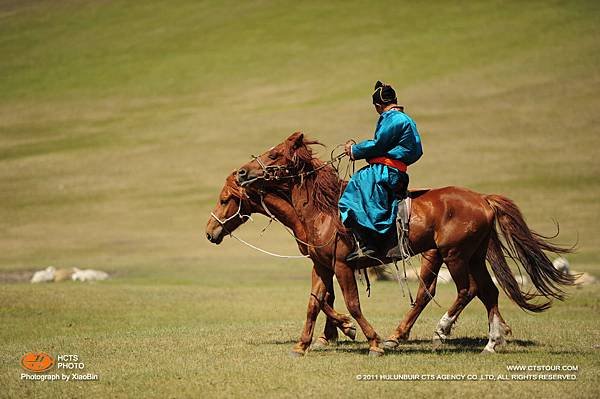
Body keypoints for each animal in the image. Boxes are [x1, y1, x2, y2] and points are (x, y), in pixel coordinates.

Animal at [209, 133, 576, 358]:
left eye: (274, 154)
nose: (210, 232)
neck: (321, 211)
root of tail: (482, 199)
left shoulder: (342, 265)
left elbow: (351, 304)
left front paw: (366, 339)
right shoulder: (321, 265)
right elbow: (315, 302)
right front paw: (305, 344)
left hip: (453, 255)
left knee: (463, 290)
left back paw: (438, 331)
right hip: (472, 255)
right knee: (487, 292)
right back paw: (491, 341)